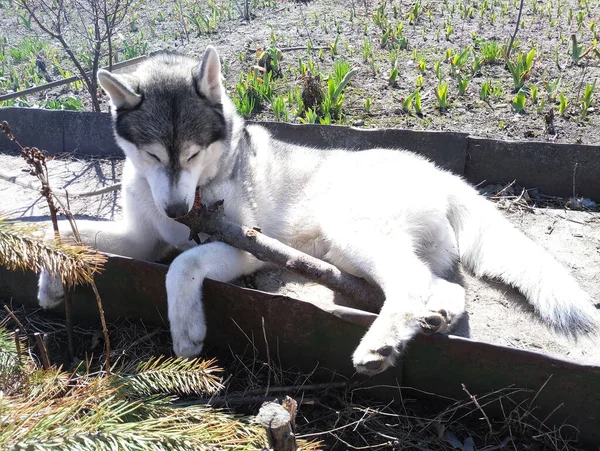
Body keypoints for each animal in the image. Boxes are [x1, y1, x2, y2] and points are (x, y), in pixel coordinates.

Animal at [37, 47, 596, 376]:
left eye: (193, 155)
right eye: (154, 156)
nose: (177, 210)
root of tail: (437, 170)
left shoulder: (248, 249)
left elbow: (181, 266)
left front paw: (186, 328)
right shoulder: (139, 238)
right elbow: (57, 233)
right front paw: (49, 278)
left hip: (348, 233)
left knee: (411, 285)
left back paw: (381, 344)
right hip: (354, 252)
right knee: (442, 287)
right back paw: (433, 318)